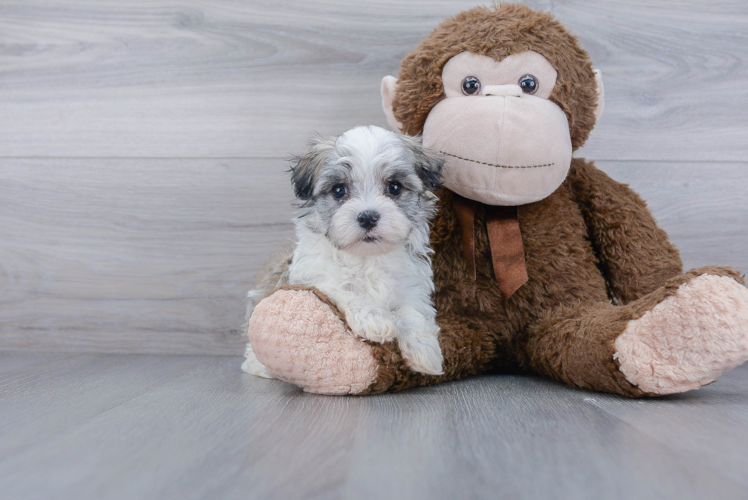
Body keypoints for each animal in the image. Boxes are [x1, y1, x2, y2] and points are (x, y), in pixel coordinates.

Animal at [244, 124, 444, 376]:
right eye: (339, 190)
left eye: (394, 187)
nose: (368, 217)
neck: (367, 258)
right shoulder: (316, 277)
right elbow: (345, 291)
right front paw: (375, 321)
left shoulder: (410, 285)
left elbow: (412, 312)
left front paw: (425, 352)